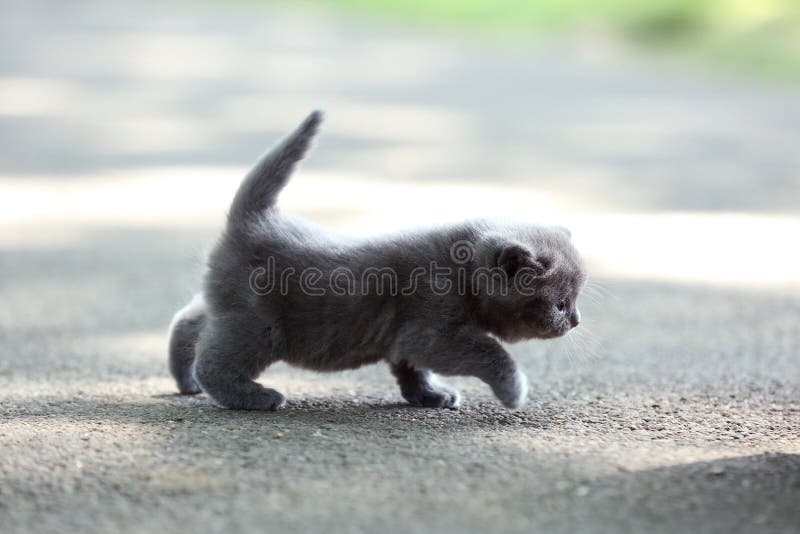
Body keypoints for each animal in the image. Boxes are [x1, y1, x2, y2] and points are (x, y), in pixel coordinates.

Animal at [169, 111, 584, 412]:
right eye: (560, 304)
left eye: (573, 302)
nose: (577, 321)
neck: (463, 269)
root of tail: (255, 217)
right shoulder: (432, 329)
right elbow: (487, 350)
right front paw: (513, 390)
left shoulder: (405, 337)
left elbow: (411, 368)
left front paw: (430, 396)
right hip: (259, 325)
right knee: (215, 361)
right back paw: (255, 397)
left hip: (229, 307)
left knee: (190, 319)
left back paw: (185, 381)